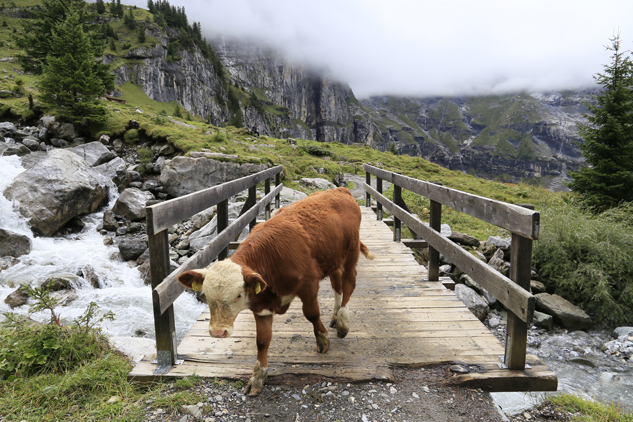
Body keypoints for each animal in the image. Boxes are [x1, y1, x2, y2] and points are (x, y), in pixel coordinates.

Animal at [178, 188, 372, 396]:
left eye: (238, 295)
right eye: (206, 296)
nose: (217, 332)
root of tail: (339, 190)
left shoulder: (309, 285)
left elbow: (312, 314)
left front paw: (322, 340)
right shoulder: (261, 307)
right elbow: (262, 341)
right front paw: (258, 377)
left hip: (351, 251)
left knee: (349, 283)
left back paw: (343, 322)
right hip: (332, 259)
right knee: (337, 286)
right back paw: (336, 316)